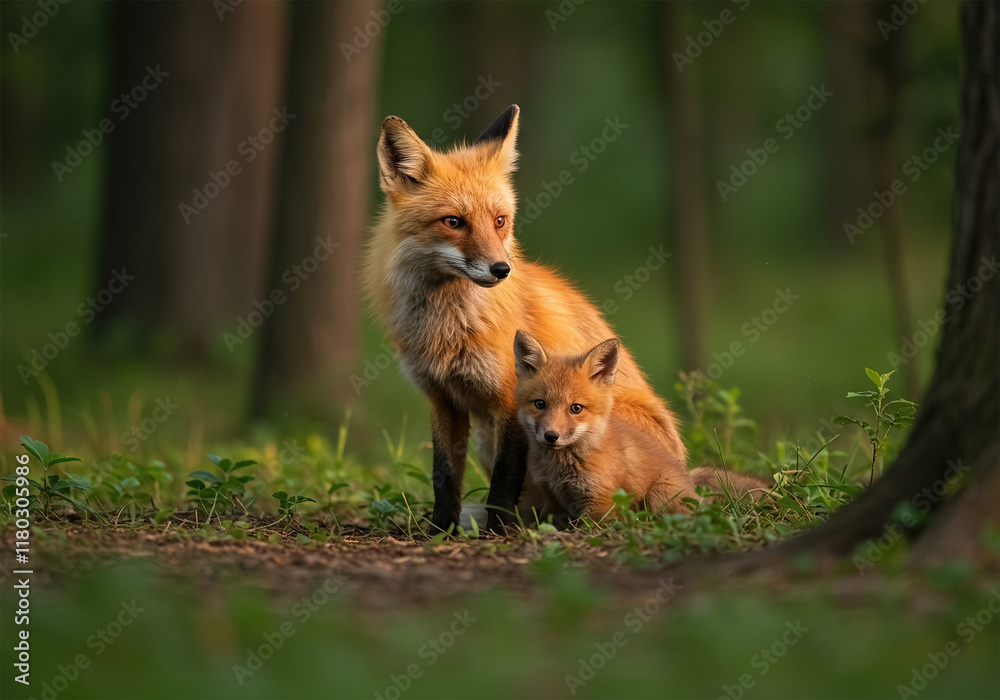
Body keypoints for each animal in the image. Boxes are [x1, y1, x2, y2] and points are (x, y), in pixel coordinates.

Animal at [363, 105, 687, 532]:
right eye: (453, 222)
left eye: (500, 220)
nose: (502, 269)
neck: (447, 326)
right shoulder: (442, 399)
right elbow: (443, 475)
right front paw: (441, 530)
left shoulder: (511, 401)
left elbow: (504, 480)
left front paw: (495, 531)